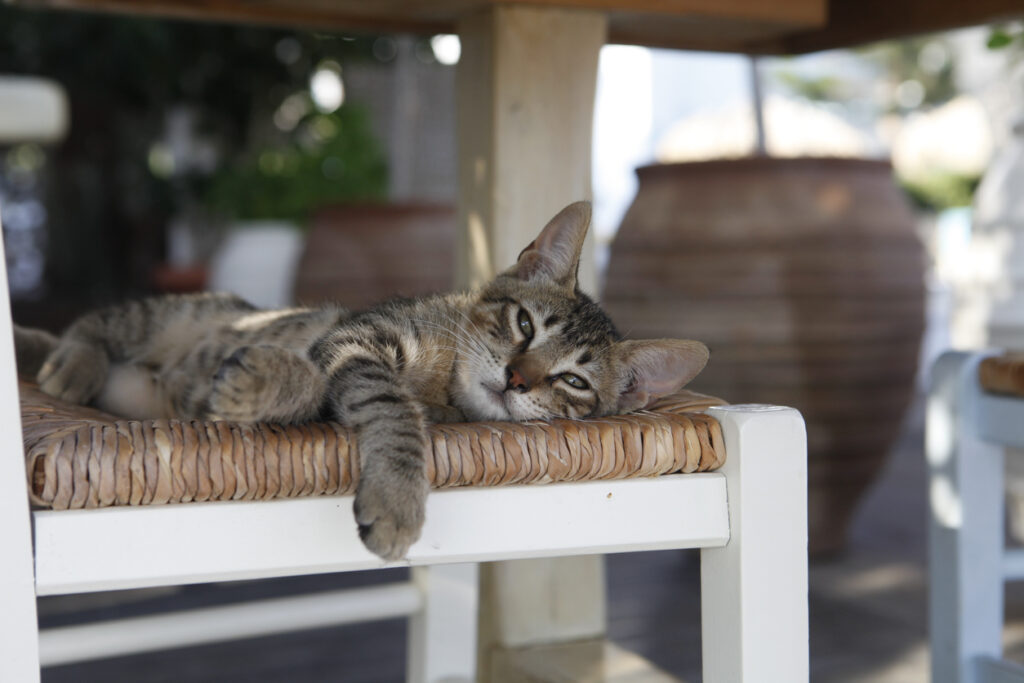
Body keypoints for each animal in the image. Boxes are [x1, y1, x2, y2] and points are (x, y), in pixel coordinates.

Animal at [16, 201, 708, 561]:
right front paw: (399, 499)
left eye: (575, 383)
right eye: (523, 323)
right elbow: (388, 404)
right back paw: (65, 359)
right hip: (176, 315)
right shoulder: (358, 336)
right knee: (92, 323)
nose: (516, 378)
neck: (443, 383)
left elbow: (348, 399)